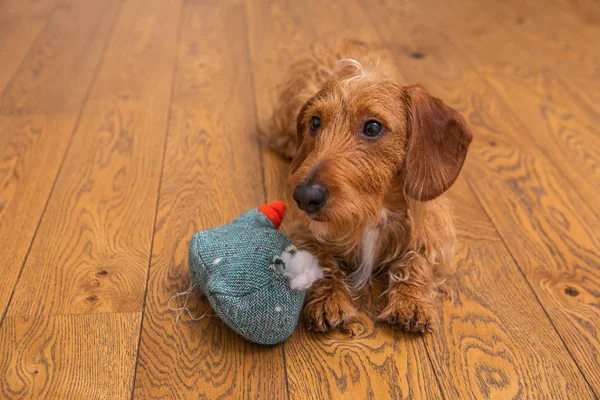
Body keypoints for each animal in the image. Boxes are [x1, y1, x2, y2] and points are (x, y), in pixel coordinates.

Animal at [260, 41, 472, 334]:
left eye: (372, 127)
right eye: (315, 122)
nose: (304, 197)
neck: (373, 209)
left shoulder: (434, 236)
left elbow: (416, 261)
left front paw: (411, 302)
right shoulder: (300, 229)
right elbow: (320, 259)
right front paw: (329, 299)